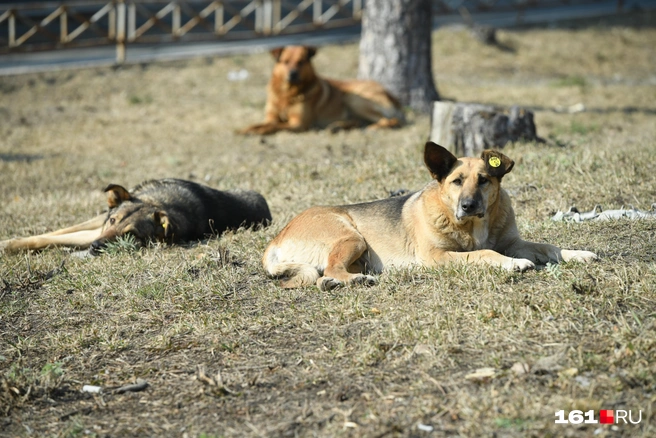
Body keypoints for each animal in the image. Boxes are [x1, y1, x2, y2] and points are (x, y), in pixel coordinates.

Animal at [240, 44, 404, 134]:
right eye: (285, 62)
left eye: (301, 62)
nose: (292, 74)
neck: (287, 95)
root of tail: (392, 96)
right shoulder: (270, 117)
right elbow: (261, 124)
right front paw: (245, 130)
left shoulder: (298, 124)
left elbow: (274, 127)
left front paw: (258, 132)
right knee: (357, 121)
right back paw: (337, 127)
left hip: (353, 98)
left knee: (391, 120)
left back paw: (373, 127)